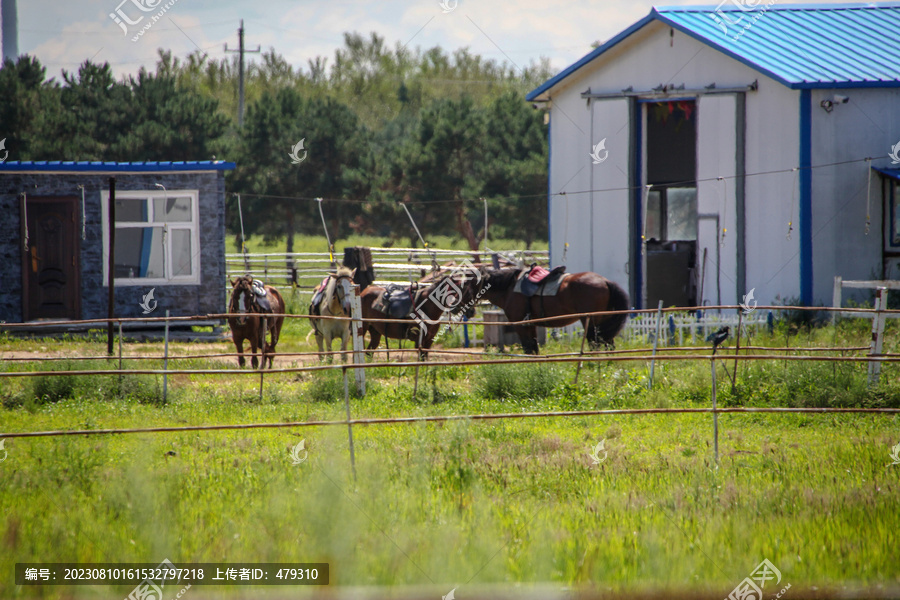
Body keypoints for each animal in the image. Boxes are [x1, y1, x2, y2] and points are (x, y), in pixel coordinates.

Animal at [468, 266, 628, 354]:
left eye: (465, 286)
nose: (469, 312)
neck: (509, 288)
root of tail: (605, 281)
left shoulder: (520, 324)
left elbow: (528, 347)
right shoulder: (530, 324)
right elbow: (533, 348)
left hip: (591, 322)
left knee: (596, 343)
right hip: (603, 322)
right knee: (608, 344)